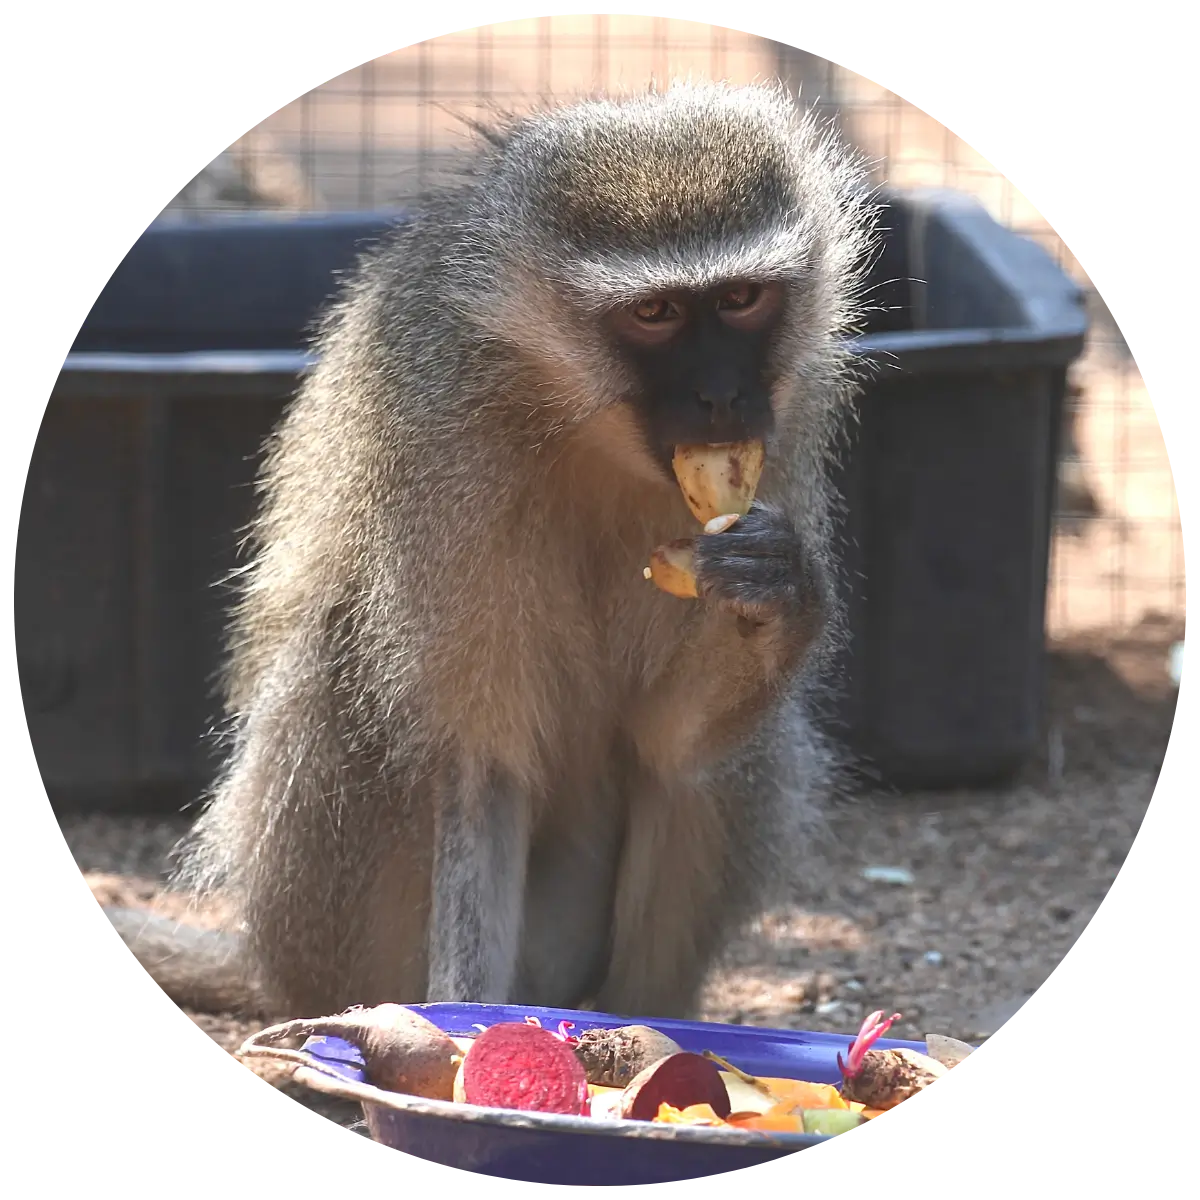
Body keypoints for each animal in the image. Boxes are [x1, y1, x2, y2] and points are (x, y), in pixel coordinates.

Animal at [102, 79, 882, 1025]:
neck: (574, 410)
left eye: (742, 300)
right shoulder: (437, 436)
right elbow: (481, 766)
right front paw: (461, 1033)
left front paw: (780, 595)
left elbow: (668, 742)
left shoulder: (790, 414)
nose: (722, 396)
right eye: (654, 314)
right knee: (344, 673)